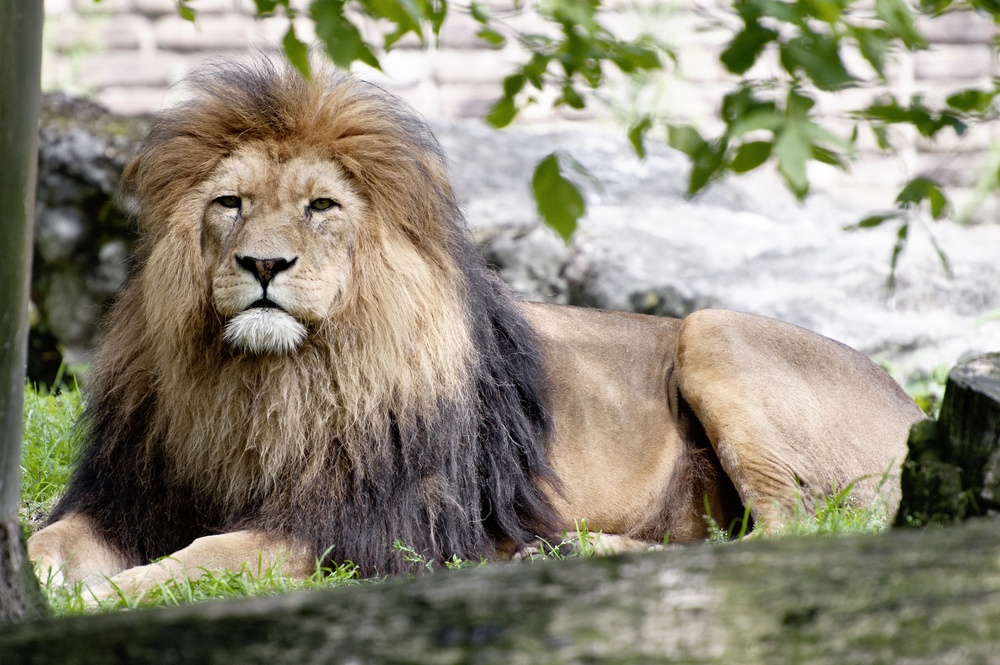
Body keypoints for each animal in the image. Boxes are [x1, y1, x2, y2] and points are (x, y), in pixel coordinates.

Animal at [27, 59, 924, 600]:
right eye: (229, 203)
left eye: (321, 206)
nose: (263, 264)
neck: (264, 386)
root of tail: (918, 406)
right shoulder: (126, 496)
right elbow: (48, 537)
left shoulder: (364, 529)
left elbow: (208, 555)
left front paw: (105, 596)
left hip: (714, 329)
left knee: (789, 535)